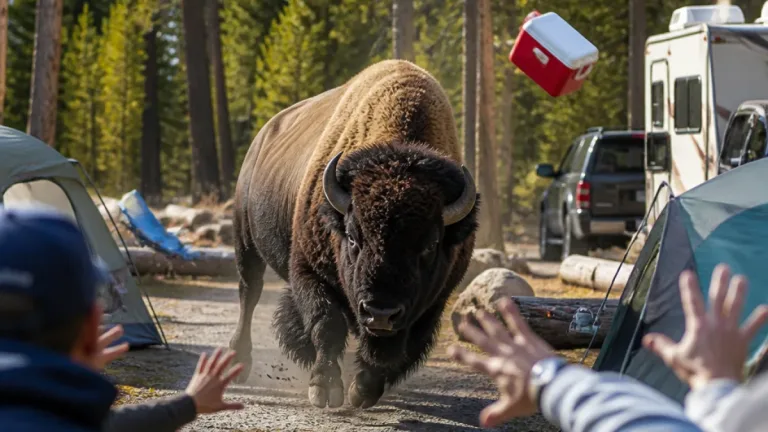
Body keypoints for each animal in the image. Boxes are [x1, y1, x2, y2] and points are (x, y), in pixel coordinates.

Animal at [229, 59, 479, 410]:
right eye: (352, 236)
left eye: (430, 244)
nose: (380, 313)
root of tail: (261, 138)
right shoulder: (309, 270)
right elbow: (327, 324)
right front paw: (323, 388)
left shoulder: (433, 303)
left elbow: (397, 350)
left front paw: (362, 390)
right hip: (246, 241)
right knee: (249, 292)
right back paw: (240, 361)